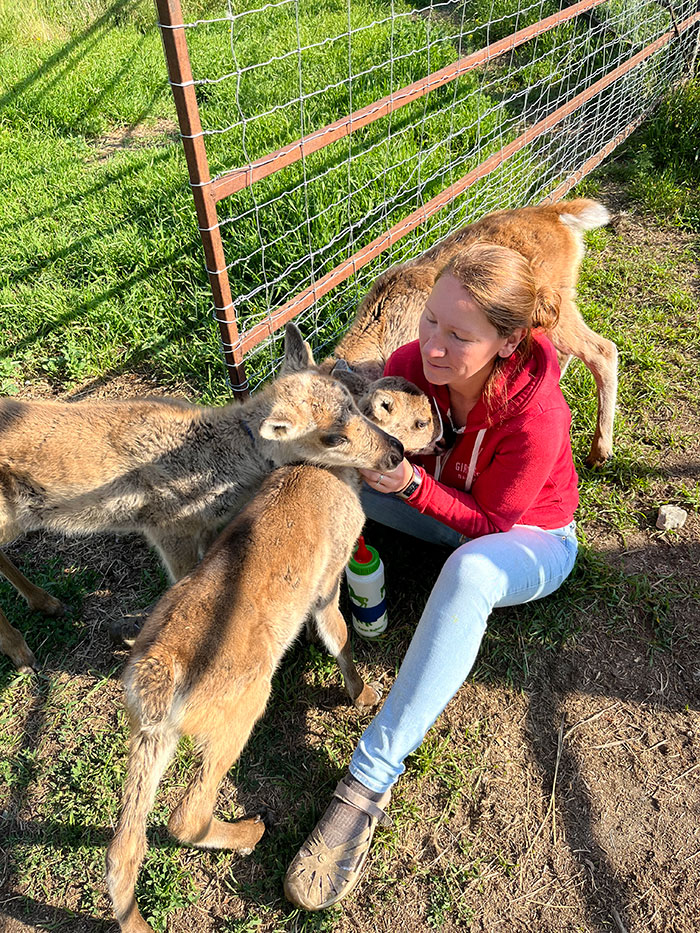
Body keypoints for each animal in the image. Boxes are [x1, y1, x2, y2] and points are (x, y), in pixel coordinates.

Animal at [101, 370, 402, 924]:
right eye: (333, 436)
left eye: (356, 404)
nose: (394, 453)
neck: (317, 475)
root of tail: (154, 683)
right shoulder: (328, 581)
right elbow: (338, 634)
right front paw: (363, 694)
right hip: (241, 708)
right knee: (184, 814)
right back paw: (251, 830)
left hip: (149, 737)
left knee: (123, 847)